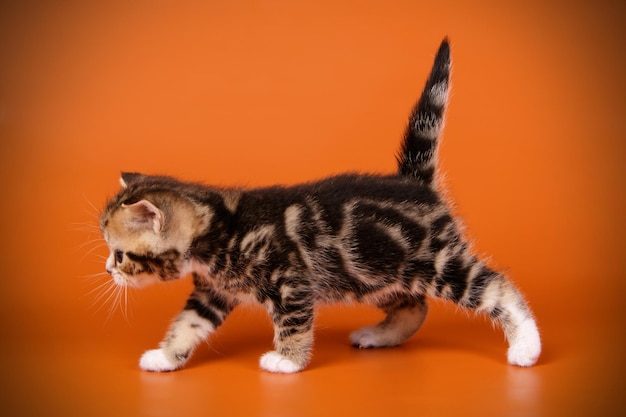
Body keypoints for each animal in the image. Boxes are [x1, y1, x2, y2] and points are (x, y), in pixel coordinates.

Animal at [100, 39, 540, 372]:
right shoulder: (212, 292)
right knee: (414, 306)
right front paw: (165, 357)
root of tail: (414, 182)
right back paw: (379, 335)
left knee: (496, 287)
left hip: (432, 261)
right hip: (372, 271)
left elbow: (293, 323)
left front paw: (287, 361)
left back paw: (526, 345)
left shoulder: (291, 281)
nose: (107, 270)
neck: (222, 226)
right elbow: (187, 324)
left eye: (120, 255)